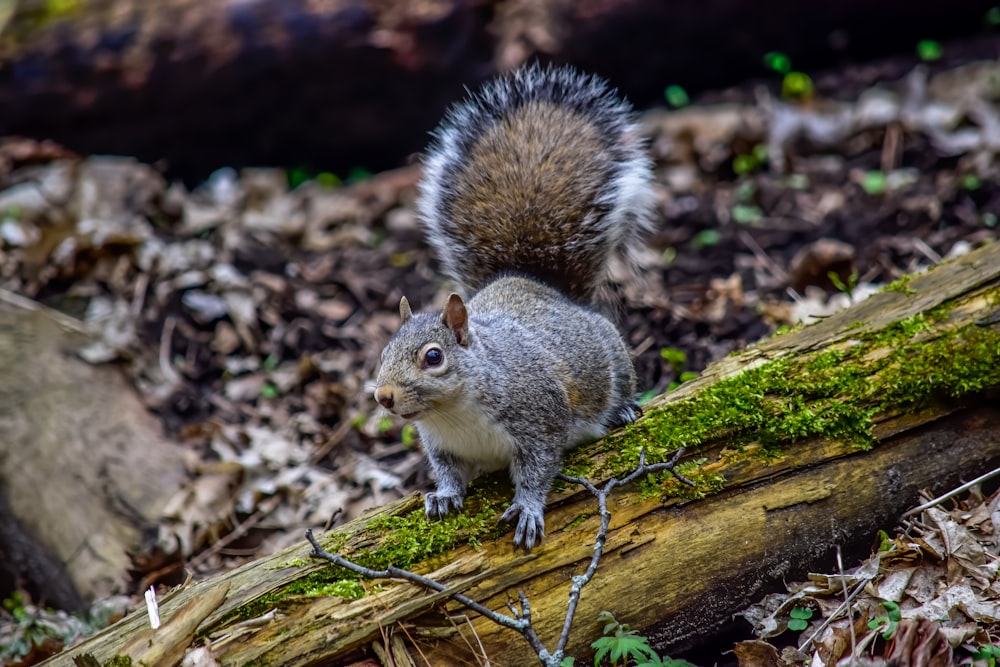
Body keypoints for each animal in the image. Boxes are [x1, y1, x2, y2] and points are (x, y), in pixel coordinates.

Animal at [372, 65, 652, 552]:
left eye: (434, 357)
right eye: (385, 351)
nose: (383, 396)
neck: (454, 413)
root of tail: (532, 280)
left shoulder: (540, 421)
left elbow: (538, 470)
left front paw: (527, 509)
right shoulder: (441, 445)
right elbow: (448, 471)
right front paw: (444, 496)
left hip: (613, 355)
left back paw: (622, 409)